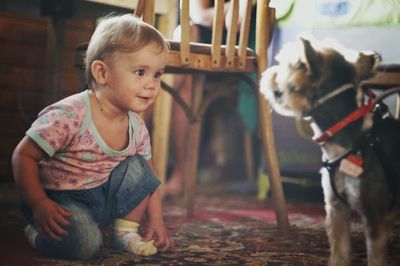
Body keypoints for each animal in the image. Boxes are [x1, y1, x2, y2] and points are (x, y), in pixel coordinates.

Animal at [260, 35, 400, 266]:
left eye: (287, 65)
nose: (268, 73)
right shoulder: (336, 209)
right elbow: (339, 252)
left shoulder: (375, 216)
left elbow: (375, 257)